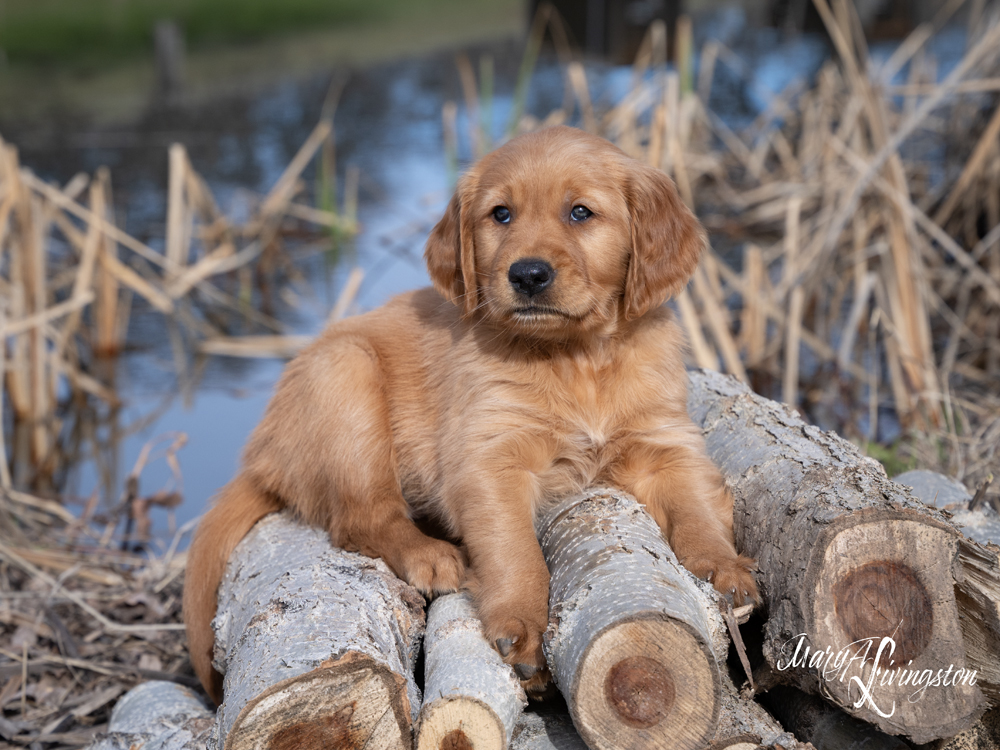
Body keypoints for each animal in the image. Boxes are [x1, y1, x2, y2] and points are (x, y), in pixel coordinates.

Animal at [182, 125, 756, 704]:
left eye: (581, 213)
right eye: (500, 214)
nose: (527, 274)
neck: (577, 358)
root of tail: (260, 457)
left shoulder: (665, 442)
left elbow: (697, 507)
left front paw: (724, 566)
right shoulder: (490, 460)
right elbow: (515, 550)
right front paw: (524, 626)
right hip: (346, 373)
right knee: (361, 518)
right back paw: (429, 555)